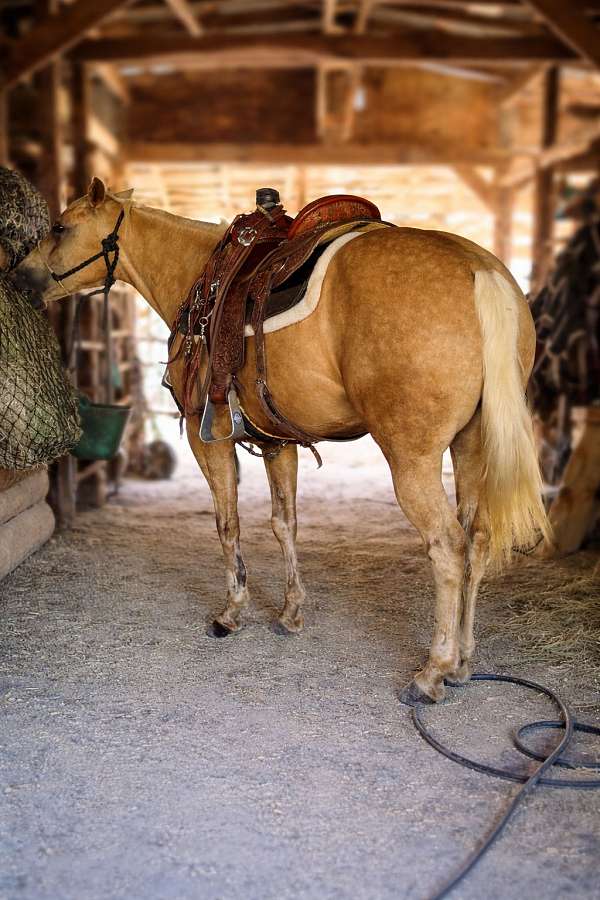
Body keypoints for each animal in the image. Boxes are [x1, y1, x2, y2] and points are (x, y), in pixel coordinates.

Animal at [12, 176, 550, 705]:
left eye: (59, 227)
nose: (19, 276)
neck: (198, 277)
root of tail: (481, 272)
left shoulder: (207, 440)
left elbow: (228, 524)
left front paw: (232, 612)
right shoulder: (277, 442)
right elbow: (283, 524)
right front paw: (291, 613)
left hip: (412, 460)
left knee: (447, 546)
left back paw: (432, 671)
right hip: (470, 446)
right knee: (477, 539)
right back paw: (461, 662)